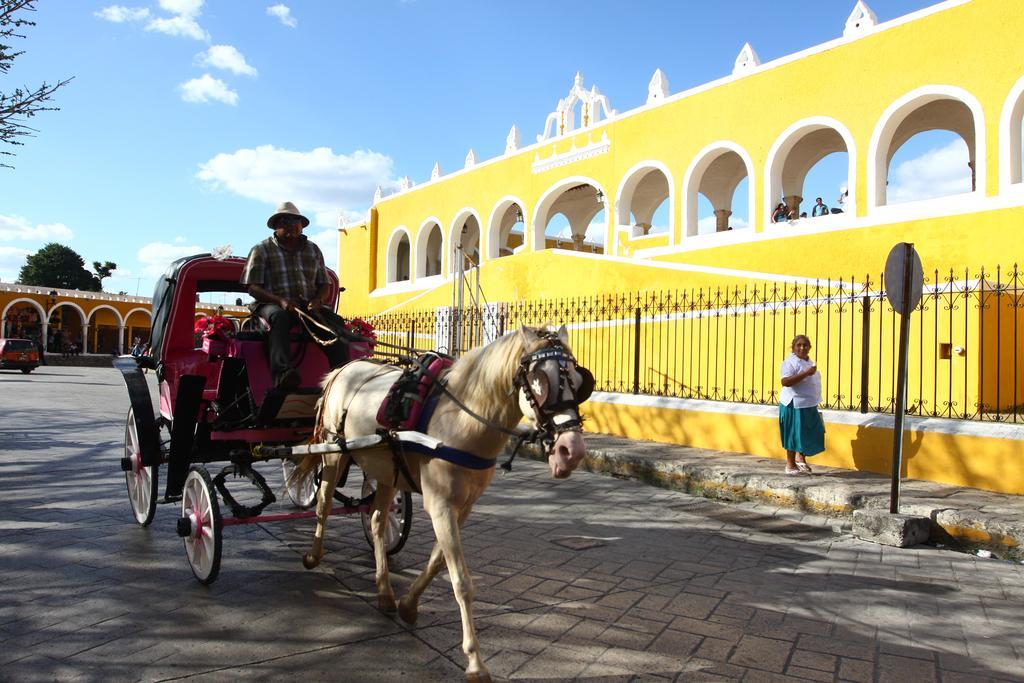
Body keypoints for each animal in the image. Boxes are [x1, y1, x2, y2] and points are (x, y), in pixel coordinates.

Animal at [292, 327, 589, 683]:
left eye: (579, 381)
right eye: (539, 381)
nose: (572, 450)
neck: (463, 421)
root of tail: (344, 368)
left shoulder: (462, 507)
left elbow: (437, 562)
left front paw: (408, 605)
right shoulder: (440, 504)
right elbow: (461, 581)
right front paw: (475, 661)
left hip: (385, 469)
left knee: (377, 519)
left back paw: (385, 591)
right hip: (334, 453)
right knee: (323, 504)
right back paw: (314, 555)